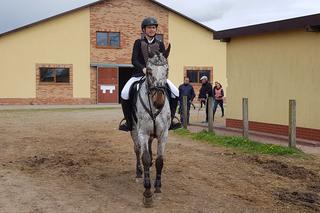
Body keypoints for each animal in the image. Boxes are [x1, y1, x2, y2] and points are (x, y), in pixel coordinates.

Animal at [130, 51, 171, 206]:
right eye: (148, 71)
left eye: (167, 70)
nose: (159, 101)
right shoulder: (142, 133)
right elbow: (145, 158)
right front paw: (147, 193)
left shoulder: (163, 134)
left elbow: (160, 160)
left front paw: (157, 187)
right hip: (134, 131)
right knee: (137, 150)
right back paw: (138, 172)